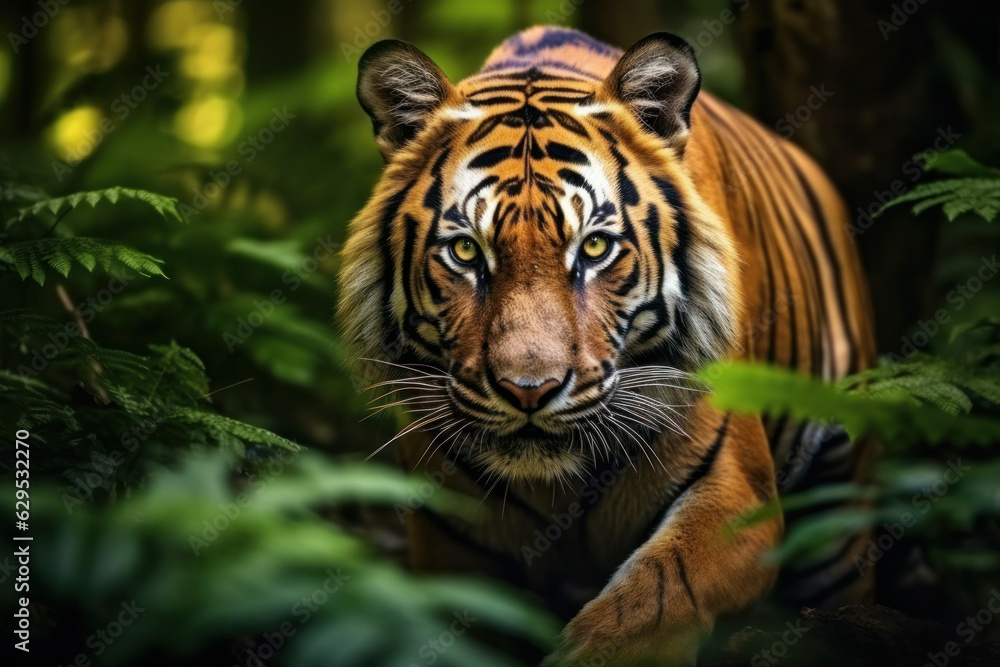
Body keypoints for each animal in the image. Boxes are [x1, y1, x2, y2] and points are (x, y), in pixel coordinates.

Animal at [338, 26, 876, 666]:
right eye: (466, 251)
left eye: (594, 248)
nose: (530, 391)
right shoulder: (451, 549)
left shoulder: (738, 495)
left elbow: (658, 595)